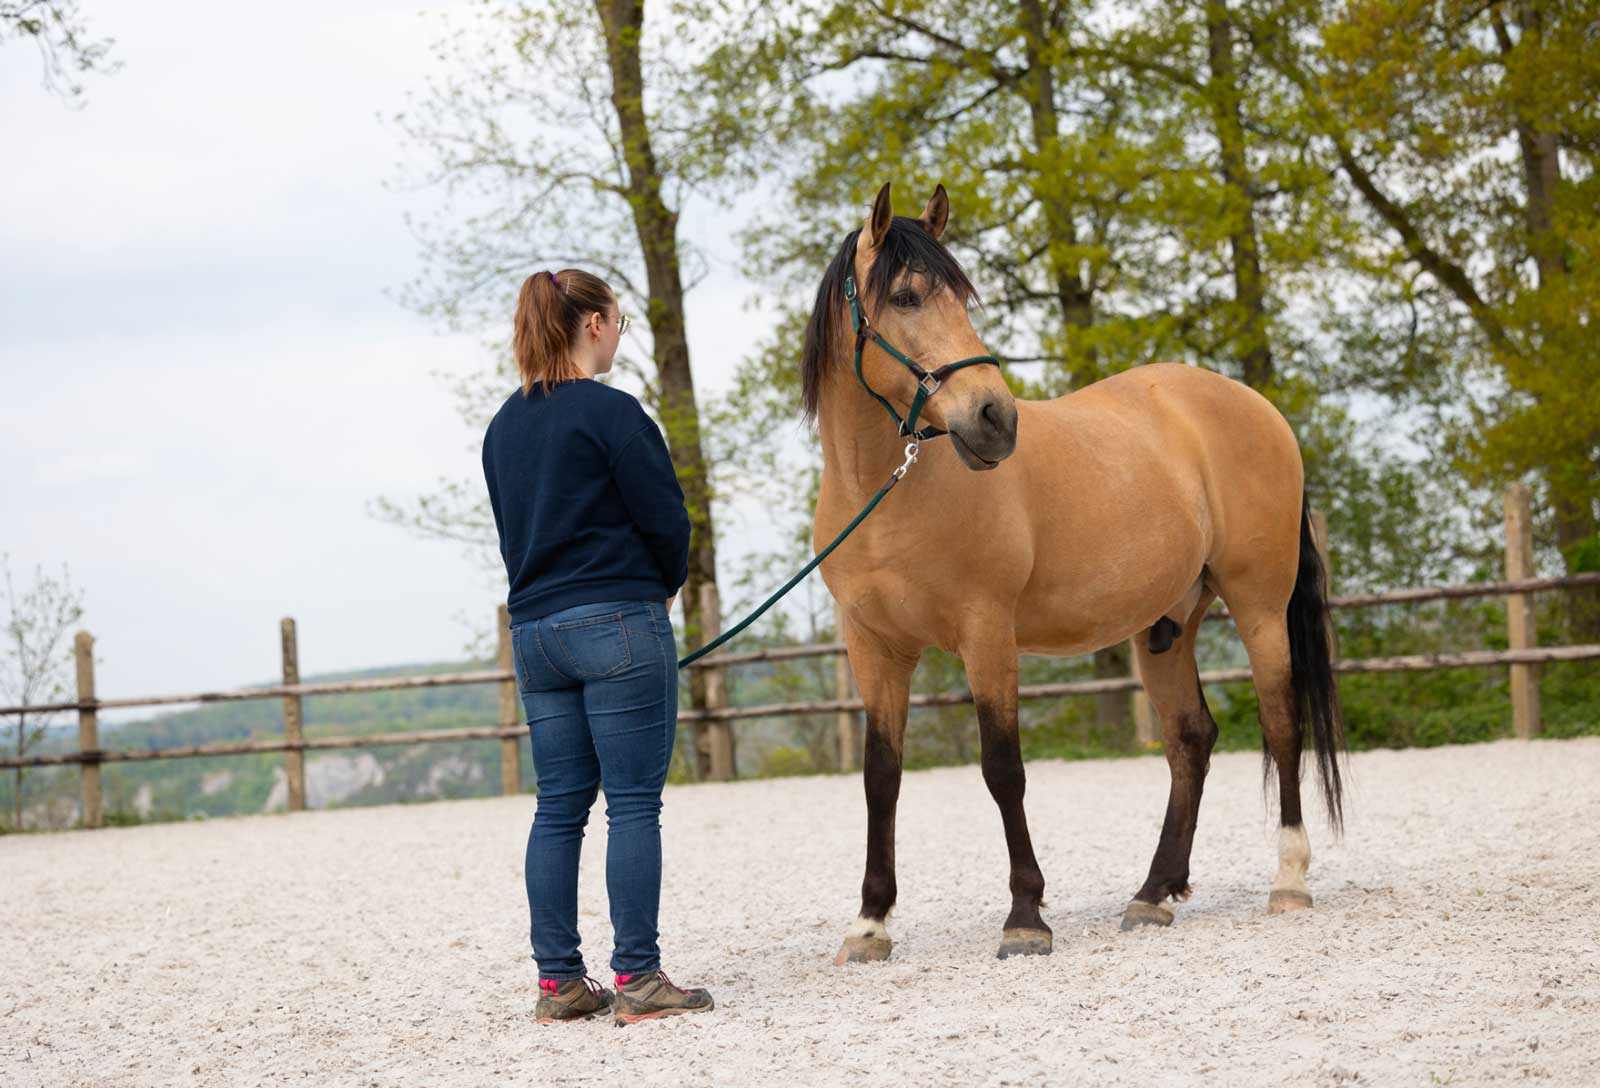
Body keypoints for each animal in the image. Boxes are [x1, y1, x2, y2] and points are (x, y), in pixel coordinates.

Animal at [806, 182, 1344, 966]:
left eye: (962, 295)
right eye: (905, 296)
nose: (995, 419)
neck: (891, 491)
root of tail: (1256, 408)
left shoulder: (987, 634)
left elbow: (1003, 769)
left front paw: (1025, 916)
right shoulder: (873, 648)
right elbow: (882, 777)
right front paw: (871, 923)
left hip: (1259, 606)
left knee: (1280, 722)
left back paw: (1290, 880)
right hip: (1166, 624)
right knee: (1191, 739)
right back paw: (1154, 893)